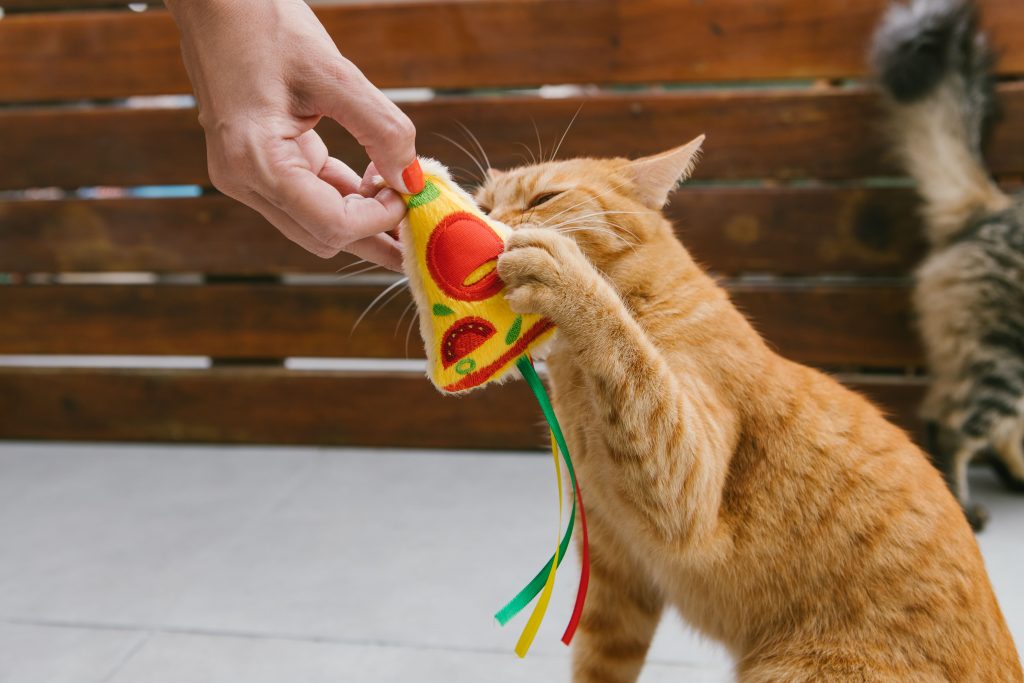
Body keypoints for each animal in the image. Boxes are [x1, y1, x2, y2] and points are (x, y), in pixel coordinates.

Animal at [475, 136, 1019, 679]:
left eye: (544, 198)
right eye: (483, 205)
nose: (488, 221)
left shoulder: (684, 492)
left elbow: (622, 348)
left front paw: (566, 277)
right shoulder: (619, 571)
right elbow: (598, 664)